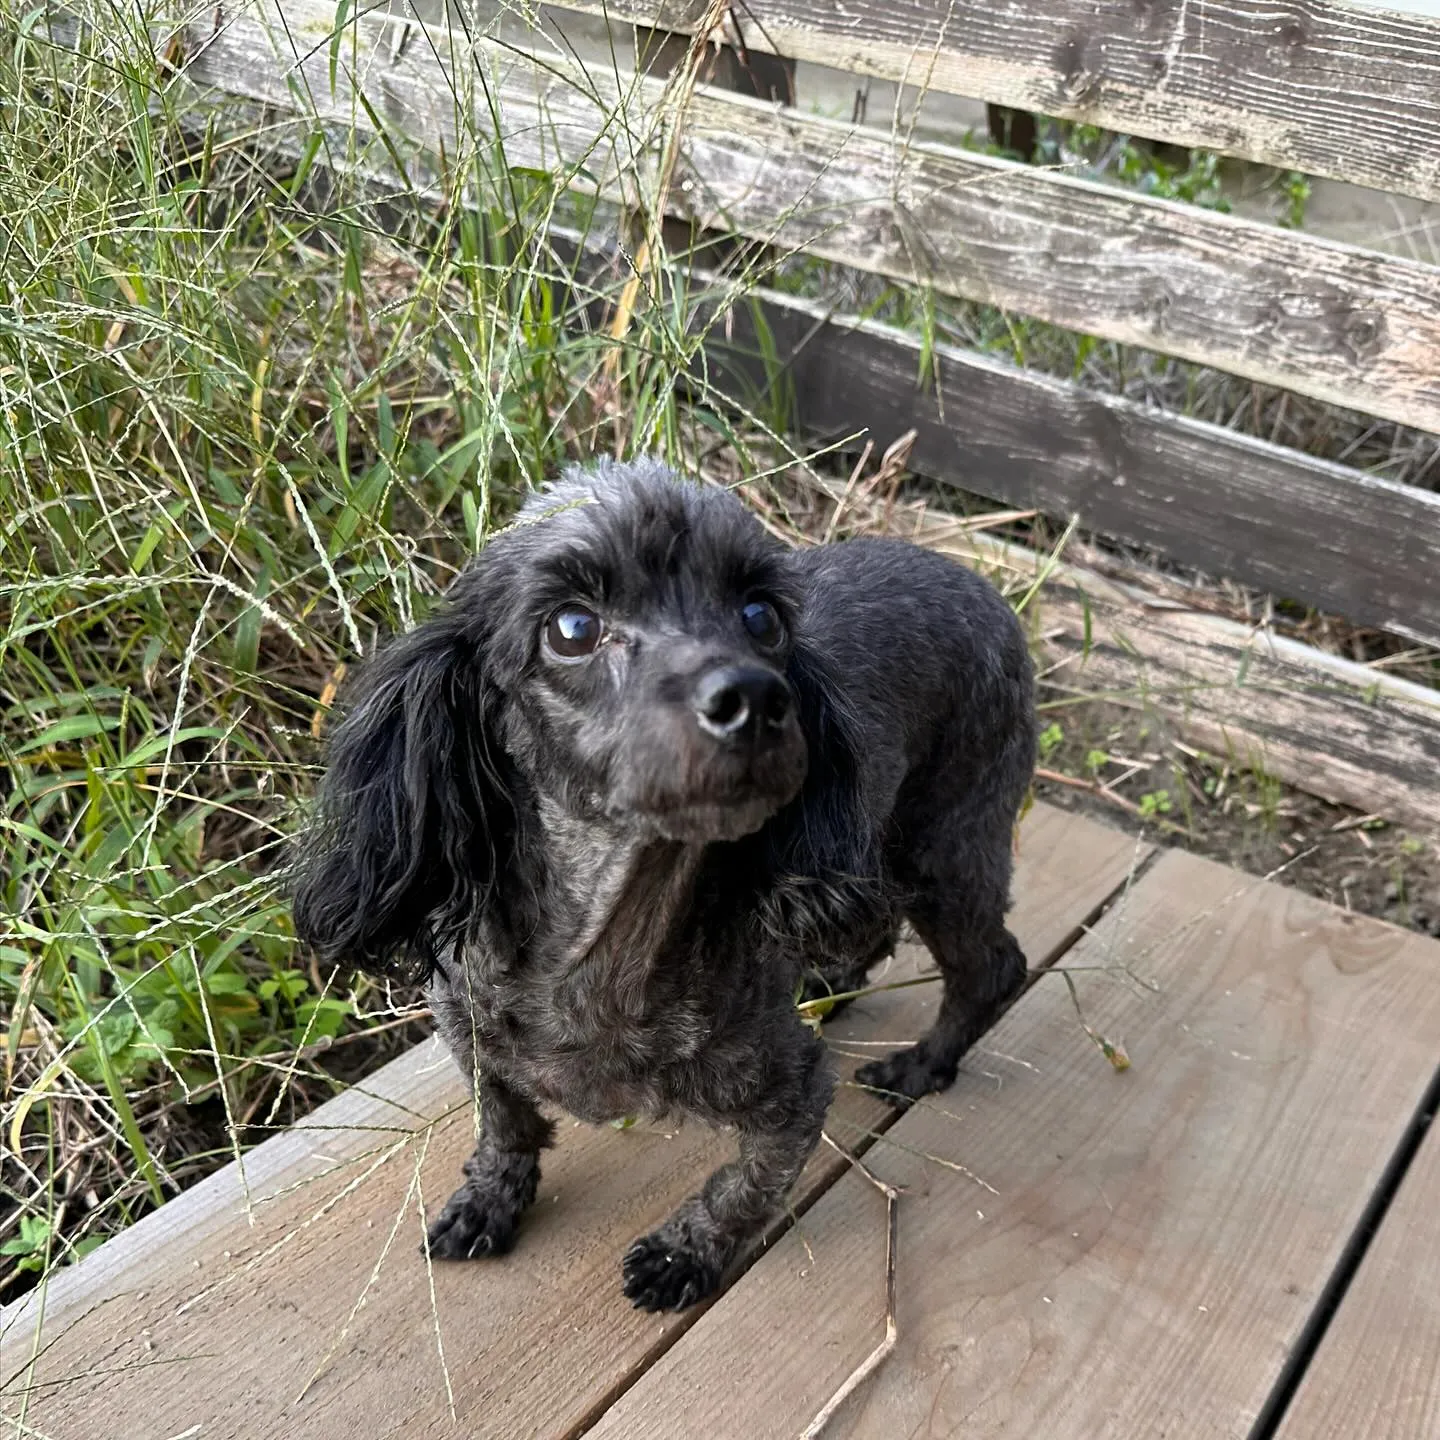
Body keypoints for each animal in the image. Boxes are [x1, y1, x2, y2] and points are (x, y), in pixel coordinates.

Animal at [295, 455, 1036, 1313]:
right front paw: (489, 1198)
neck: (609, 950)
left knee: (992, 967)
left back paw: (921, 1066)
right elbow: (504, 1122)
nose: (757, 697)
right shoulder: (465, 1027)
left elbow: (747, 1183)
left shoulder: (793, 1091)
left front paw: (686, 1251)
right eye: (571, 628)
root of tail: (975, 577)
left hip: (945, 843)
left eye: (761, 615)